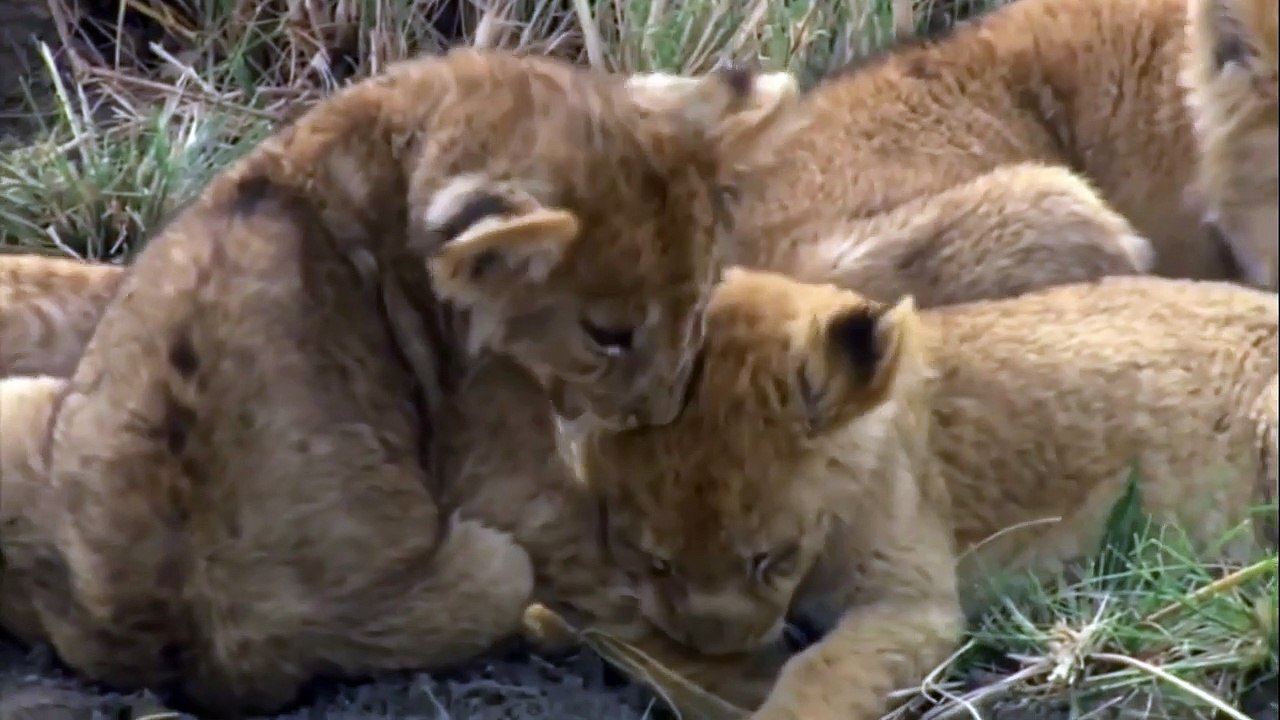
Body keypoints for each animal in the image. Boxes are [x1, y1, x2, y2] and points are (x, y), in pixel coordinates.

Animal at [0, 50, 804, 715]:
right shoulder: (495, 454)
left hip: (27, 402)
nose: (659, 409)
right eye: (607, 335)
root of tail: (198, 665)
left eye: (697, 302)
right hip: (489, 569)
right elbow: (607, 568)